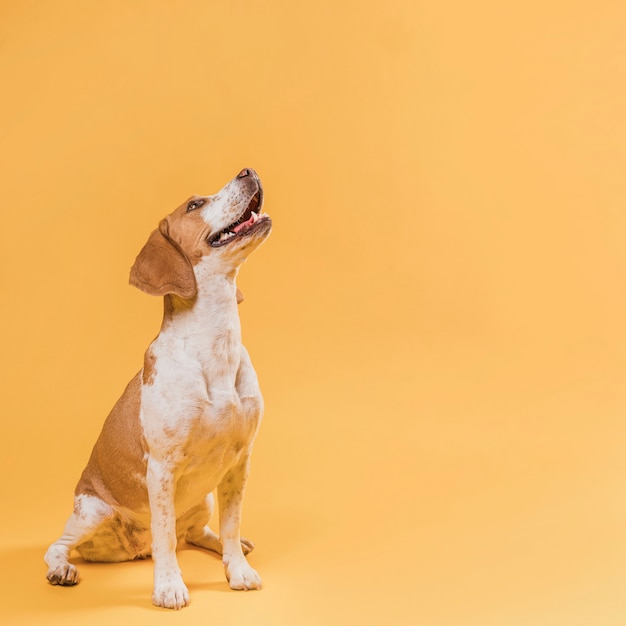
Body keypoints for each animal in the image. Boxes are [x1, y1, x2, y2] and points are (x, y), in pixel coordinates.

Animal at [42, 168, 270, 608]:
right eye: (194, 205)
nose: (247, 171)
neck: (216, 345)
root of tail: (135, 548)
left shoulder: (240, 462)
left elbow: (231, 526)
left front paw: (237, 570)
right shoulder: (162, 468)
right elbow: (166, 536)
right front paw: (168, 586)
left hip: (206, 498)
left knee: (196, 533)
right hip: (92, 512)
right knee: (59, 546)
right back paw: (62, 569)